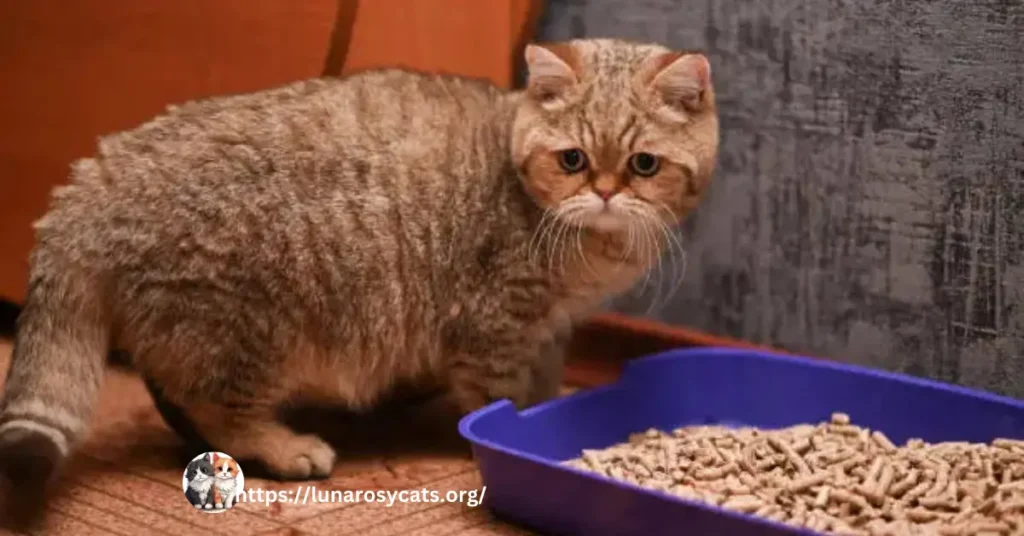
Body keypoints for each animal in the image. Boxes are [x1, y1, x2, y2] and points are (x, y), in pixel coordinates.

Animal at [0, 38, 720, 500]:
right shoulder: (498, 326)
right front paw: (514, 431)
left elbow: (544, 384)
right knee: (219, 406)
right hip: (251, 325)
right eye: (573, 160)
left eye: (644, 165)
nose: (605, 192)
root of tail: (100, 169)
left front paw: (550, 410)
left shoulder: (550, 327)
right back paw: (283, 446)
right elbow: (501, 400)